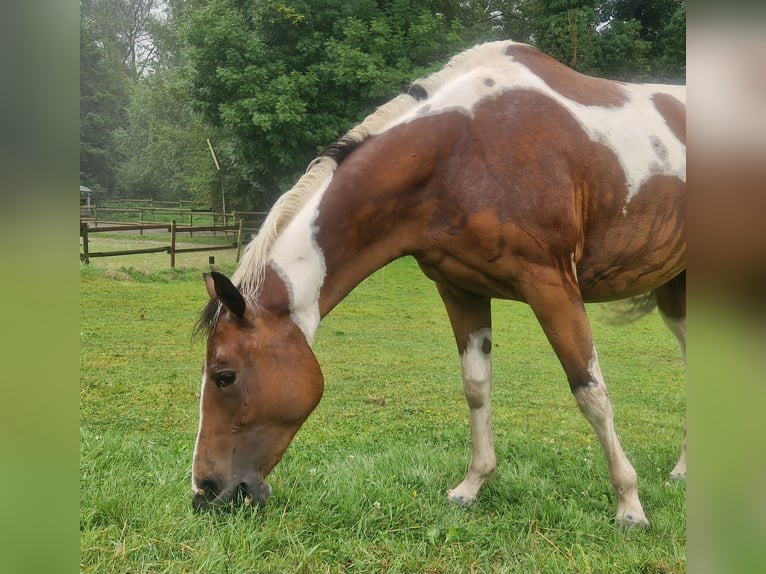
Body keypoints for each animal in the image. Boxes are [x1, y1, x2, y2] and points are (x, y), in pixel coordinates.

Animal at [191, 40, 686, 529]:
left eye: (224, 376)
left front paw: (630, 505)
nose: (204, 490)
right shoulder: (461, 290)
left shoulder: (552, 285)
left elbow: (591, 391)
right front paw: (472, 486)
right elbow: (476, 386)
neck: (464, 149)